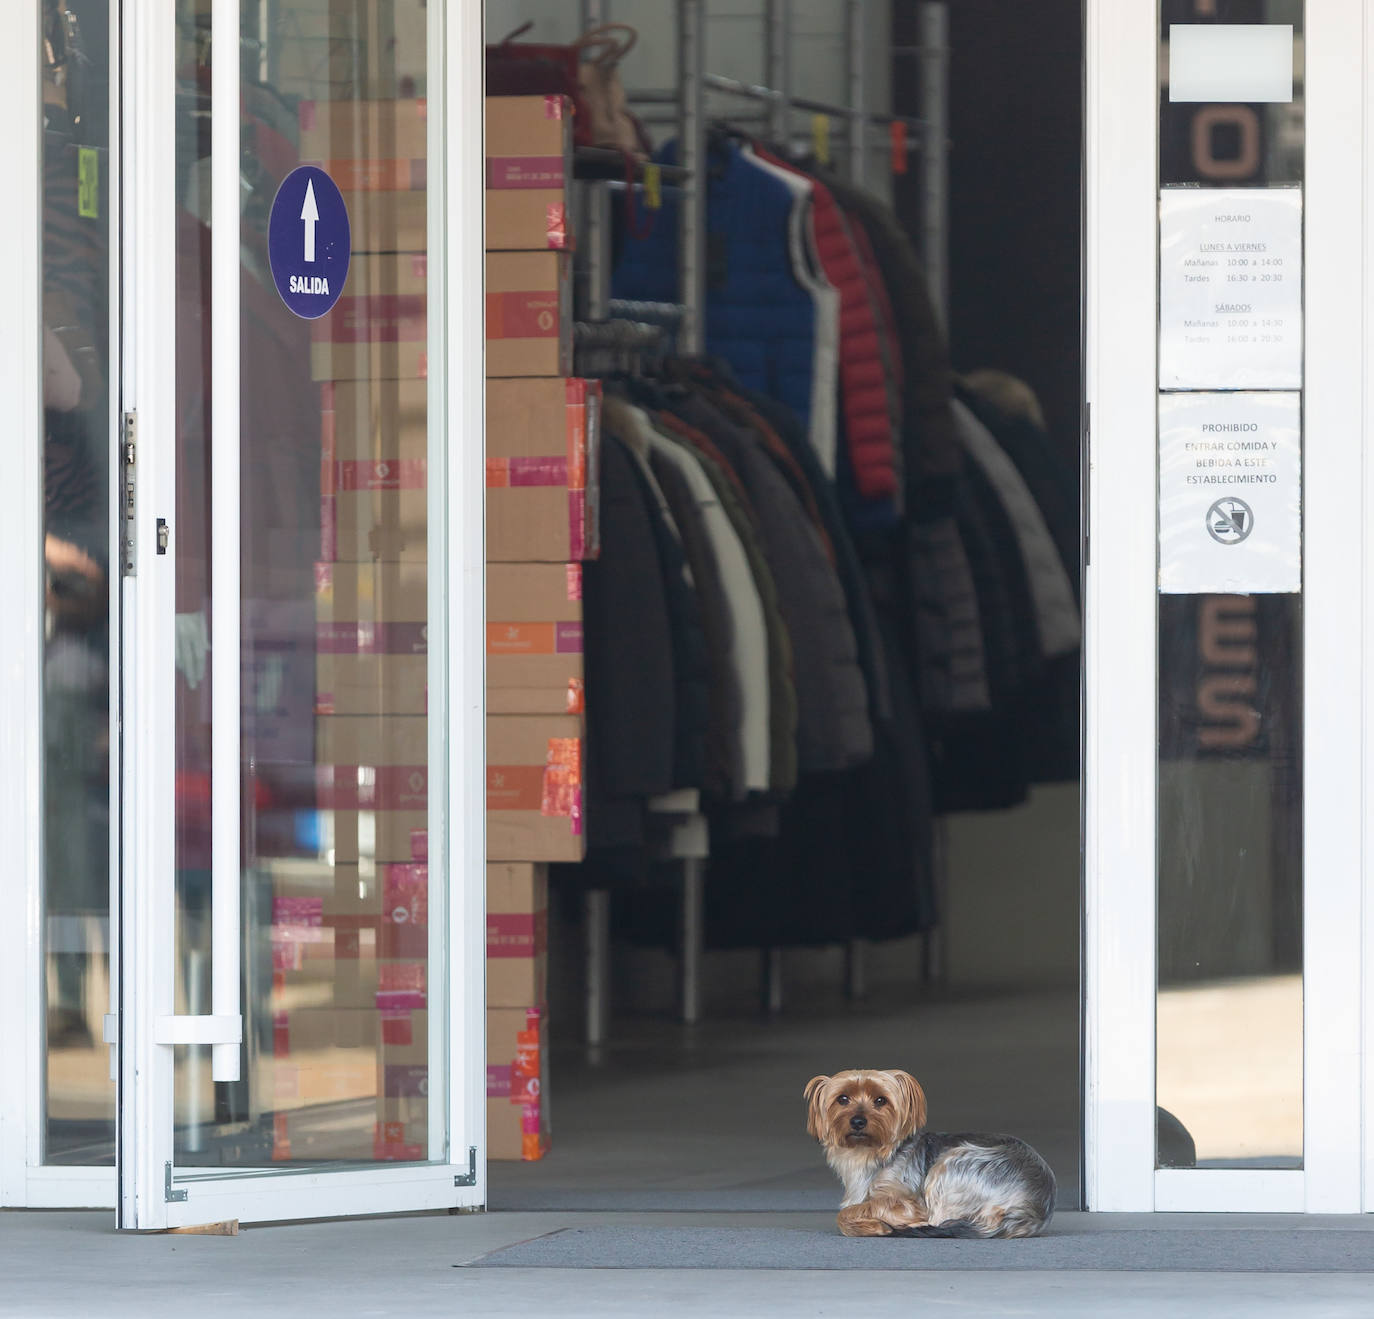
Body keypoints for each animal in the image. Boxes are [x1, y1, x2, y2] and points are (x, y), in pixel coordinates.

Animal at [802, 1066, 1055, 1242]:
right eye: (842, 1099)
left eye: (880, 1100)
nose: (857, 1121)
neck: (869, 1154)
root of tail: (1030, 1209)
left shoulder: (907, 1202)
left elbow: (846, 1213)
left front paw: (875, 1225)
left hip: (951, 1164)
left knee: (936, 1219)